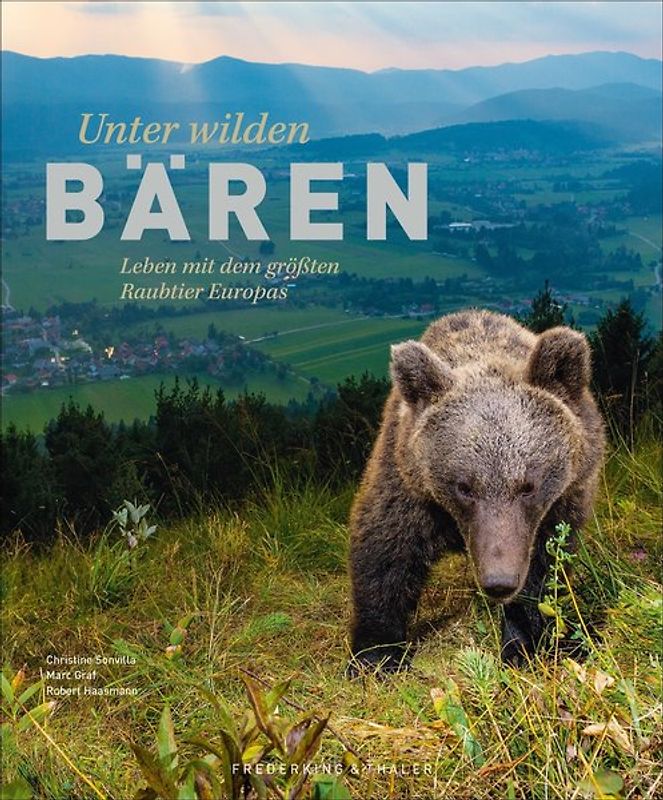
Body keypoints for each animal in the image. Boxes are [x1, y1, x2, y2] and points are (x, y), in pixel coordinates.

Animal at [348, 309, 605, 673]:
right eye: (465, 486)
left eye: (528, 486)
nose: (499, 581)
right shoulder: (410, 485)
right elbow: (386, 552)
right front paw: (375, 655)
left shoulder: (562, 503)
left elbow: (543, 571)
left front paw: (522, 643)